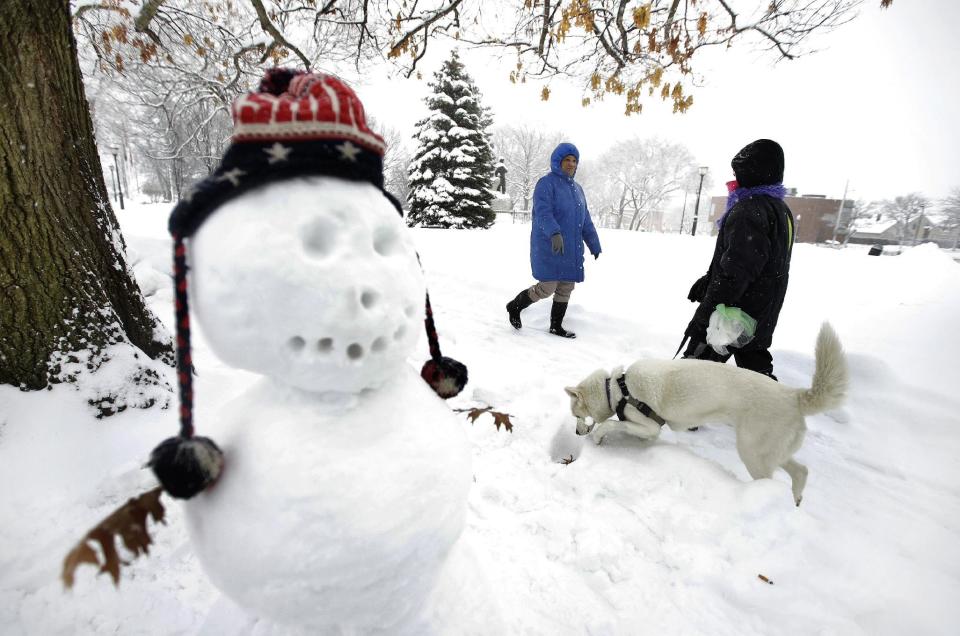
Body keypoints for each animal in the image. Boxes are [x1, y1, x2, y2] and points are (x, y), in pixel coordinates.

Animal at [564, 322, 848, 506]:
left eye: (576, 414)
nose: (576, 432)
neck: (617, 387)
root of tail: (794, 396)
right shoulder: (648, 428)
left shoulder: (649, 425)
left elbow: (612, 424)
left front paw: (599, 437)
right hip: (772, 451)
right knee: (801, 471)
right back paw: (796, 500)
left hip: (752, 452)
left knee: (770, 478)